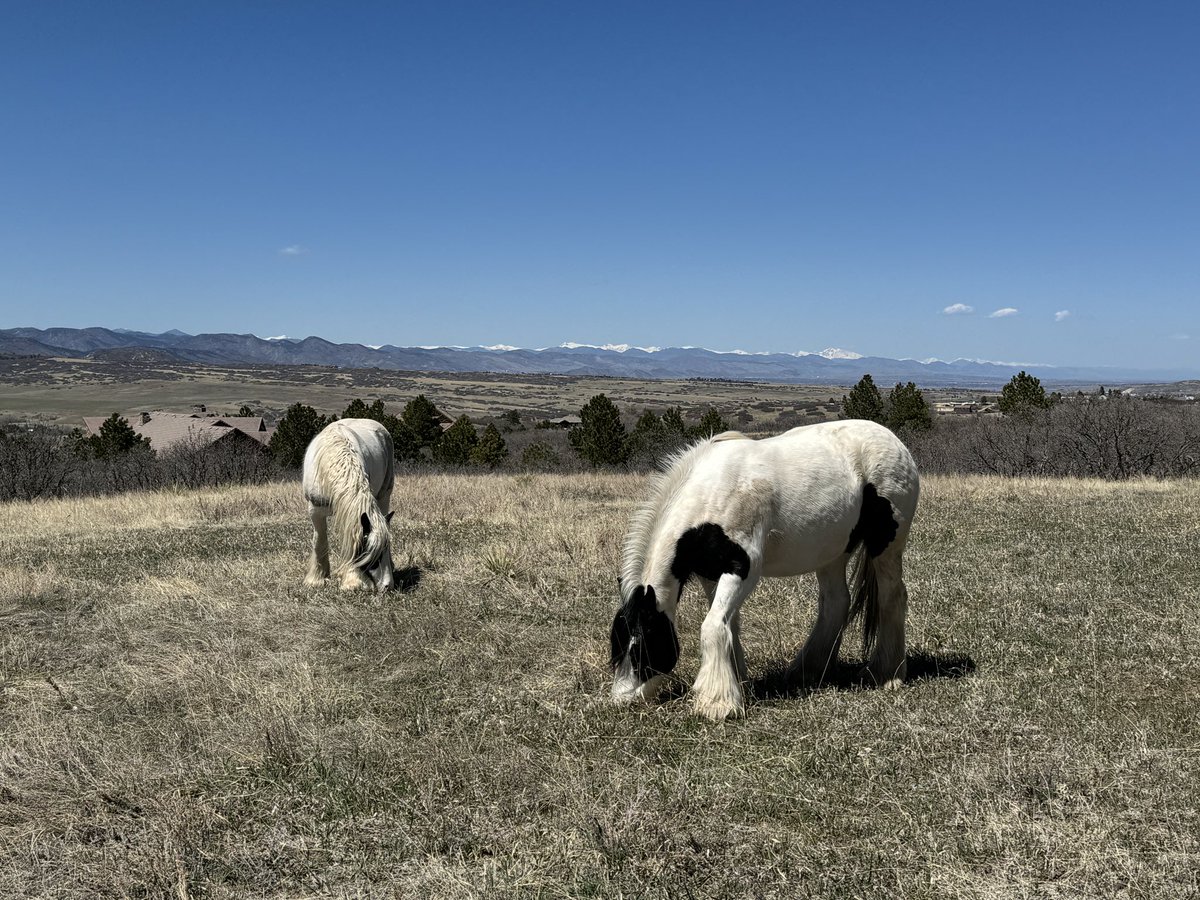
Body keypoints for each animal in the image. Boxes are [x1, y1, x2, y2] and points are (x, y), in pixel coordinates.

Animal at [300, 422, 398, 595]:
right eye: (372, 554)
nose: (388, 586)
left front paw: (352, 580)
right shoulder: (315, 510)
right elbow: (319, 540)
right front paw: (317, 579)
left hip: (385, 495)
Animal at [614, 420, 921, 724]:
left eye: (641, 647)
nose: (622, 700)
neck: (712, 494)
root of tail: (894, 441)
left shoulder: (743, 569)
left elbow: (712, 625)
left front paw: (716, 703)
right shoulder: (710, 574)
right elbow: (727, 624)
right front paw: (738, 683)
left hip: (886, 545)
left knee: (892, 598)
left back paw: (885, 673)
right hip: (833, 552)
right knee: (836, 603)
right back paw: (806, 671)